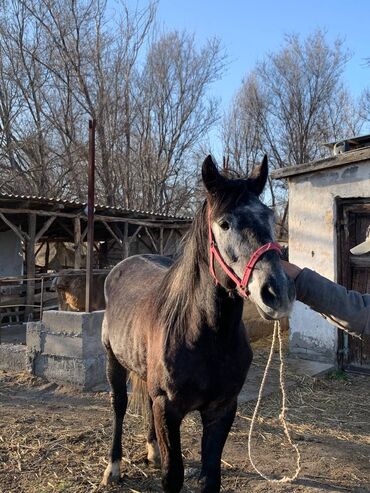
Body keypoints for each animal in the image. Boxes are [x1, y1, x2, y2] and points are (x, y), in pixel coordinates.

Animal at [99, 155, 294, 492]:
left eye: (269, 217)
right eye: (224, 223)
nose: (276, 293)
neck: (204, 336)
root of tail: (121, 266)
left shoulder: (222, 410)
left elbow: (211, 476)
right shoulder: (169, 409)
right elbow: (172, 476)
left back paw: (152, 451)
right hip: (114, 361)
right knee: (119, 406)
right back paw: (113, 468)